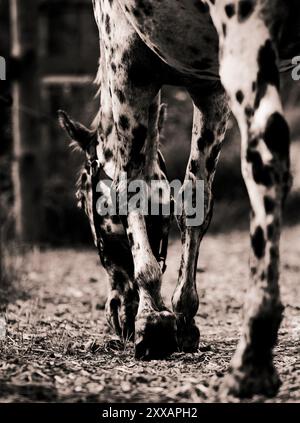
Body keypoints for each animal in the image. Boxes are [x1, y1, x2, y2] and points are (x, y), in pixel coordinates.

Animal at [59, 0, 300, 398]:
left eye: (81, 199)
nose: (117, 316)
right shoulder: (211, 91)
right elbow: (194, 200)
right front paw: (182, 316)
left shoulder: (125, 63)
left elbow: (130, 186)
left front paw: (151, 319)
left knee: (267, 154)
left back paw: (252, 359)